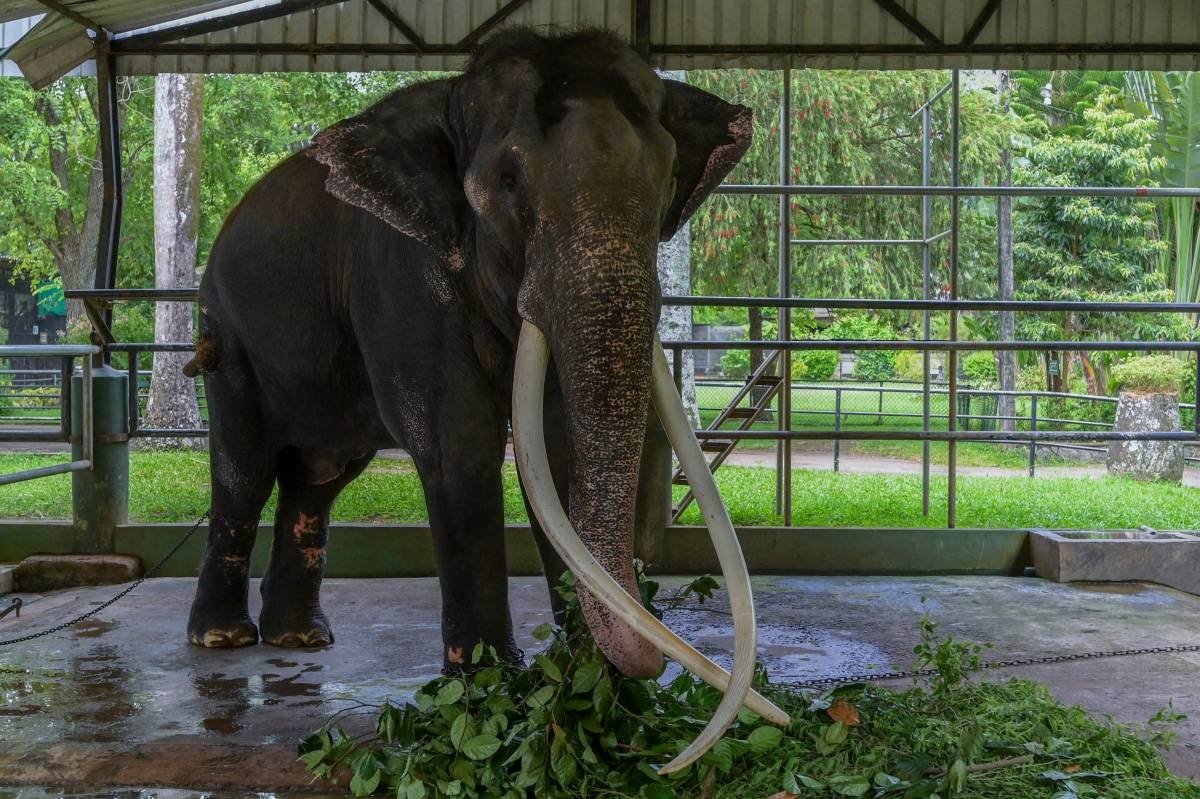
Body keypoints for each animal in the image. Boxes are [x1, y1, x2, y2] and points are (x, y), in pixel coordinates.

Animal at [184, 28, 787, 767]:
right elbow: (459, 444)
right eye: (507, 180)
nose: (651, 667)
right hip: (226, 334)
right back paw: (224, 640)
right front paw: (488, 688)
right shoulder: (403, 273)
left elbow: (558, 459)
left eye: (669, 177)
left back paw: (300, 639)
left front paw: (585, 686)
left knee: (319, 478)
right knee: (244, 469)